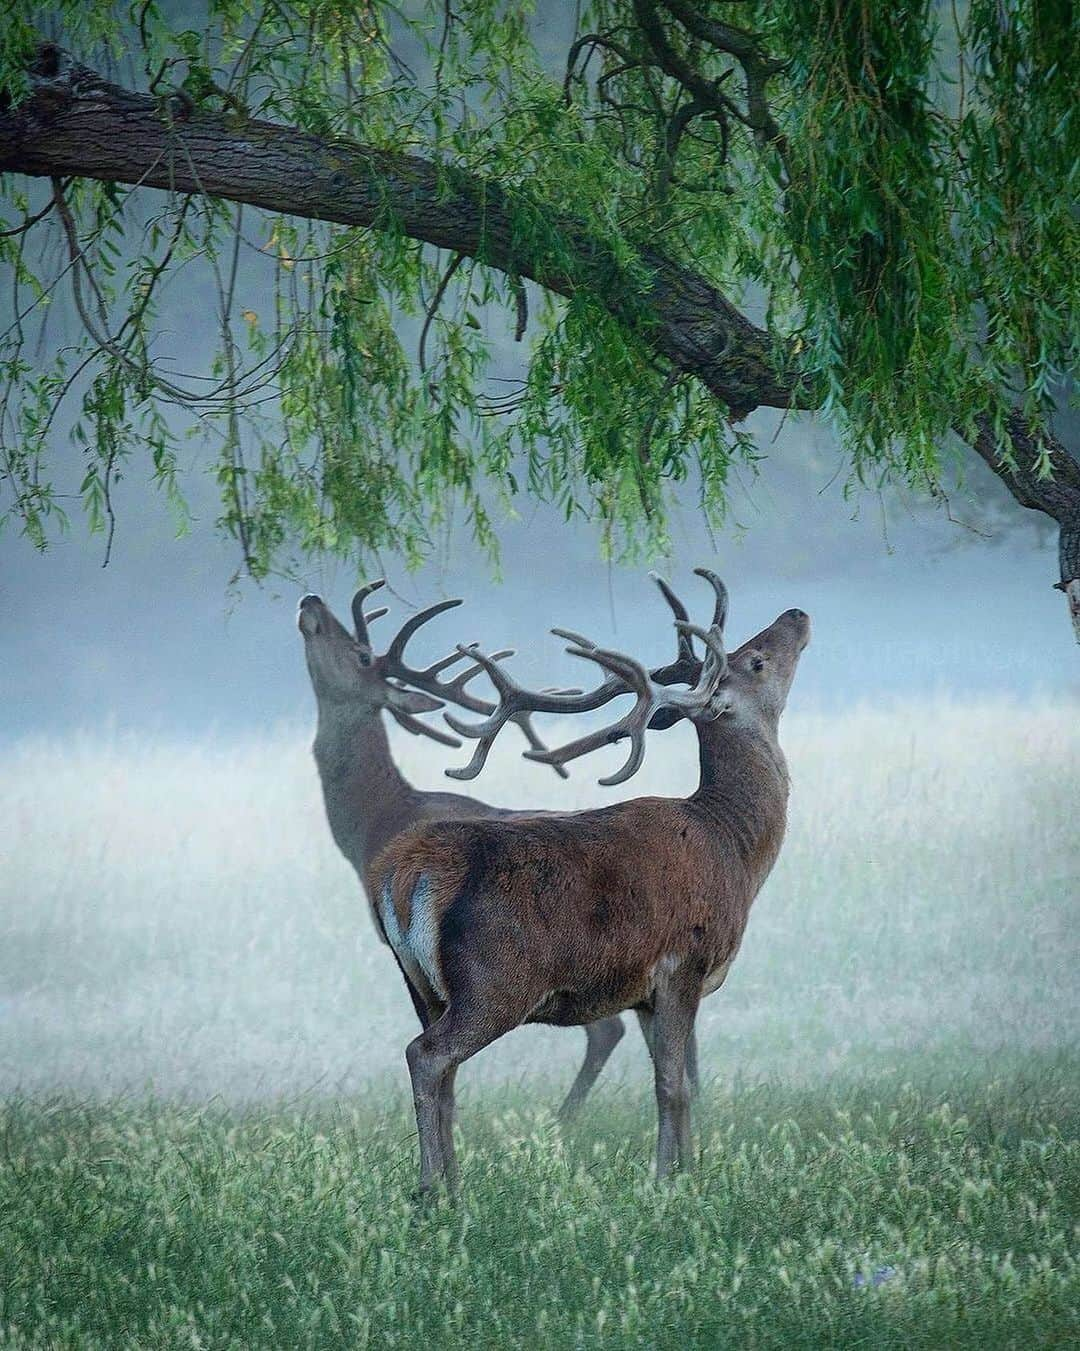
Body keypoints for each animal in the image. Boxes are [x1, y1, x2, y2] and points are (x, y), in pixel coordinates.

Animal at [373, 570, 811, 1194]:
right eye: (755, 660)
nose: (797, 614)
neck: (734, 849)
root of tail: (405, 872)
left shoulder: (647, 993)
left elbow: (680, 1084)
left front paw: (689, 1170)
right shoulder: (683, 963)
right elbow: (671, 1085)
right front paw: (666, 1182)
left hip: (420, 985)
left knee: (444, 1073)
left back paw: (452, 1186)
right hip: (494, 982)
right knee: (427, 1056)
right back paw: (434, 1190)